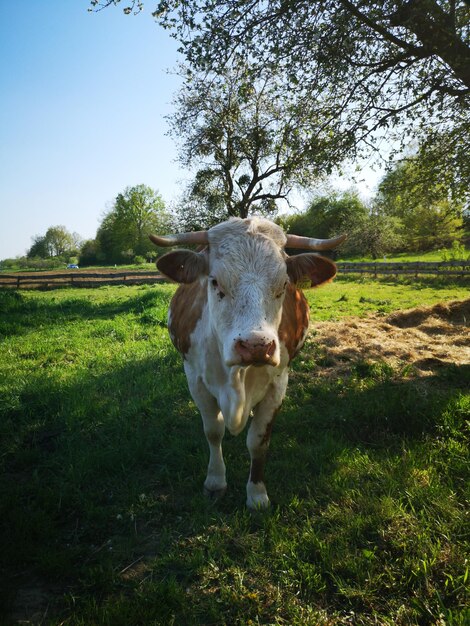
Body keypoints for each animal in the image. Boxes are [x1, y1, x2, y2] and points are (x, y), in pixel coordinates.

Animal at [151, 214, 346, 508]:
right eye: (214, 282)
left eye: (284, 285)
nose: (256, 345)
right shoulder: (195, 379)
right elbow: (213, 431)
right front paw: (215, 481)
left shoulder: (278, 384)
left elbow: (258, 441)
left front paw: (256, 494)